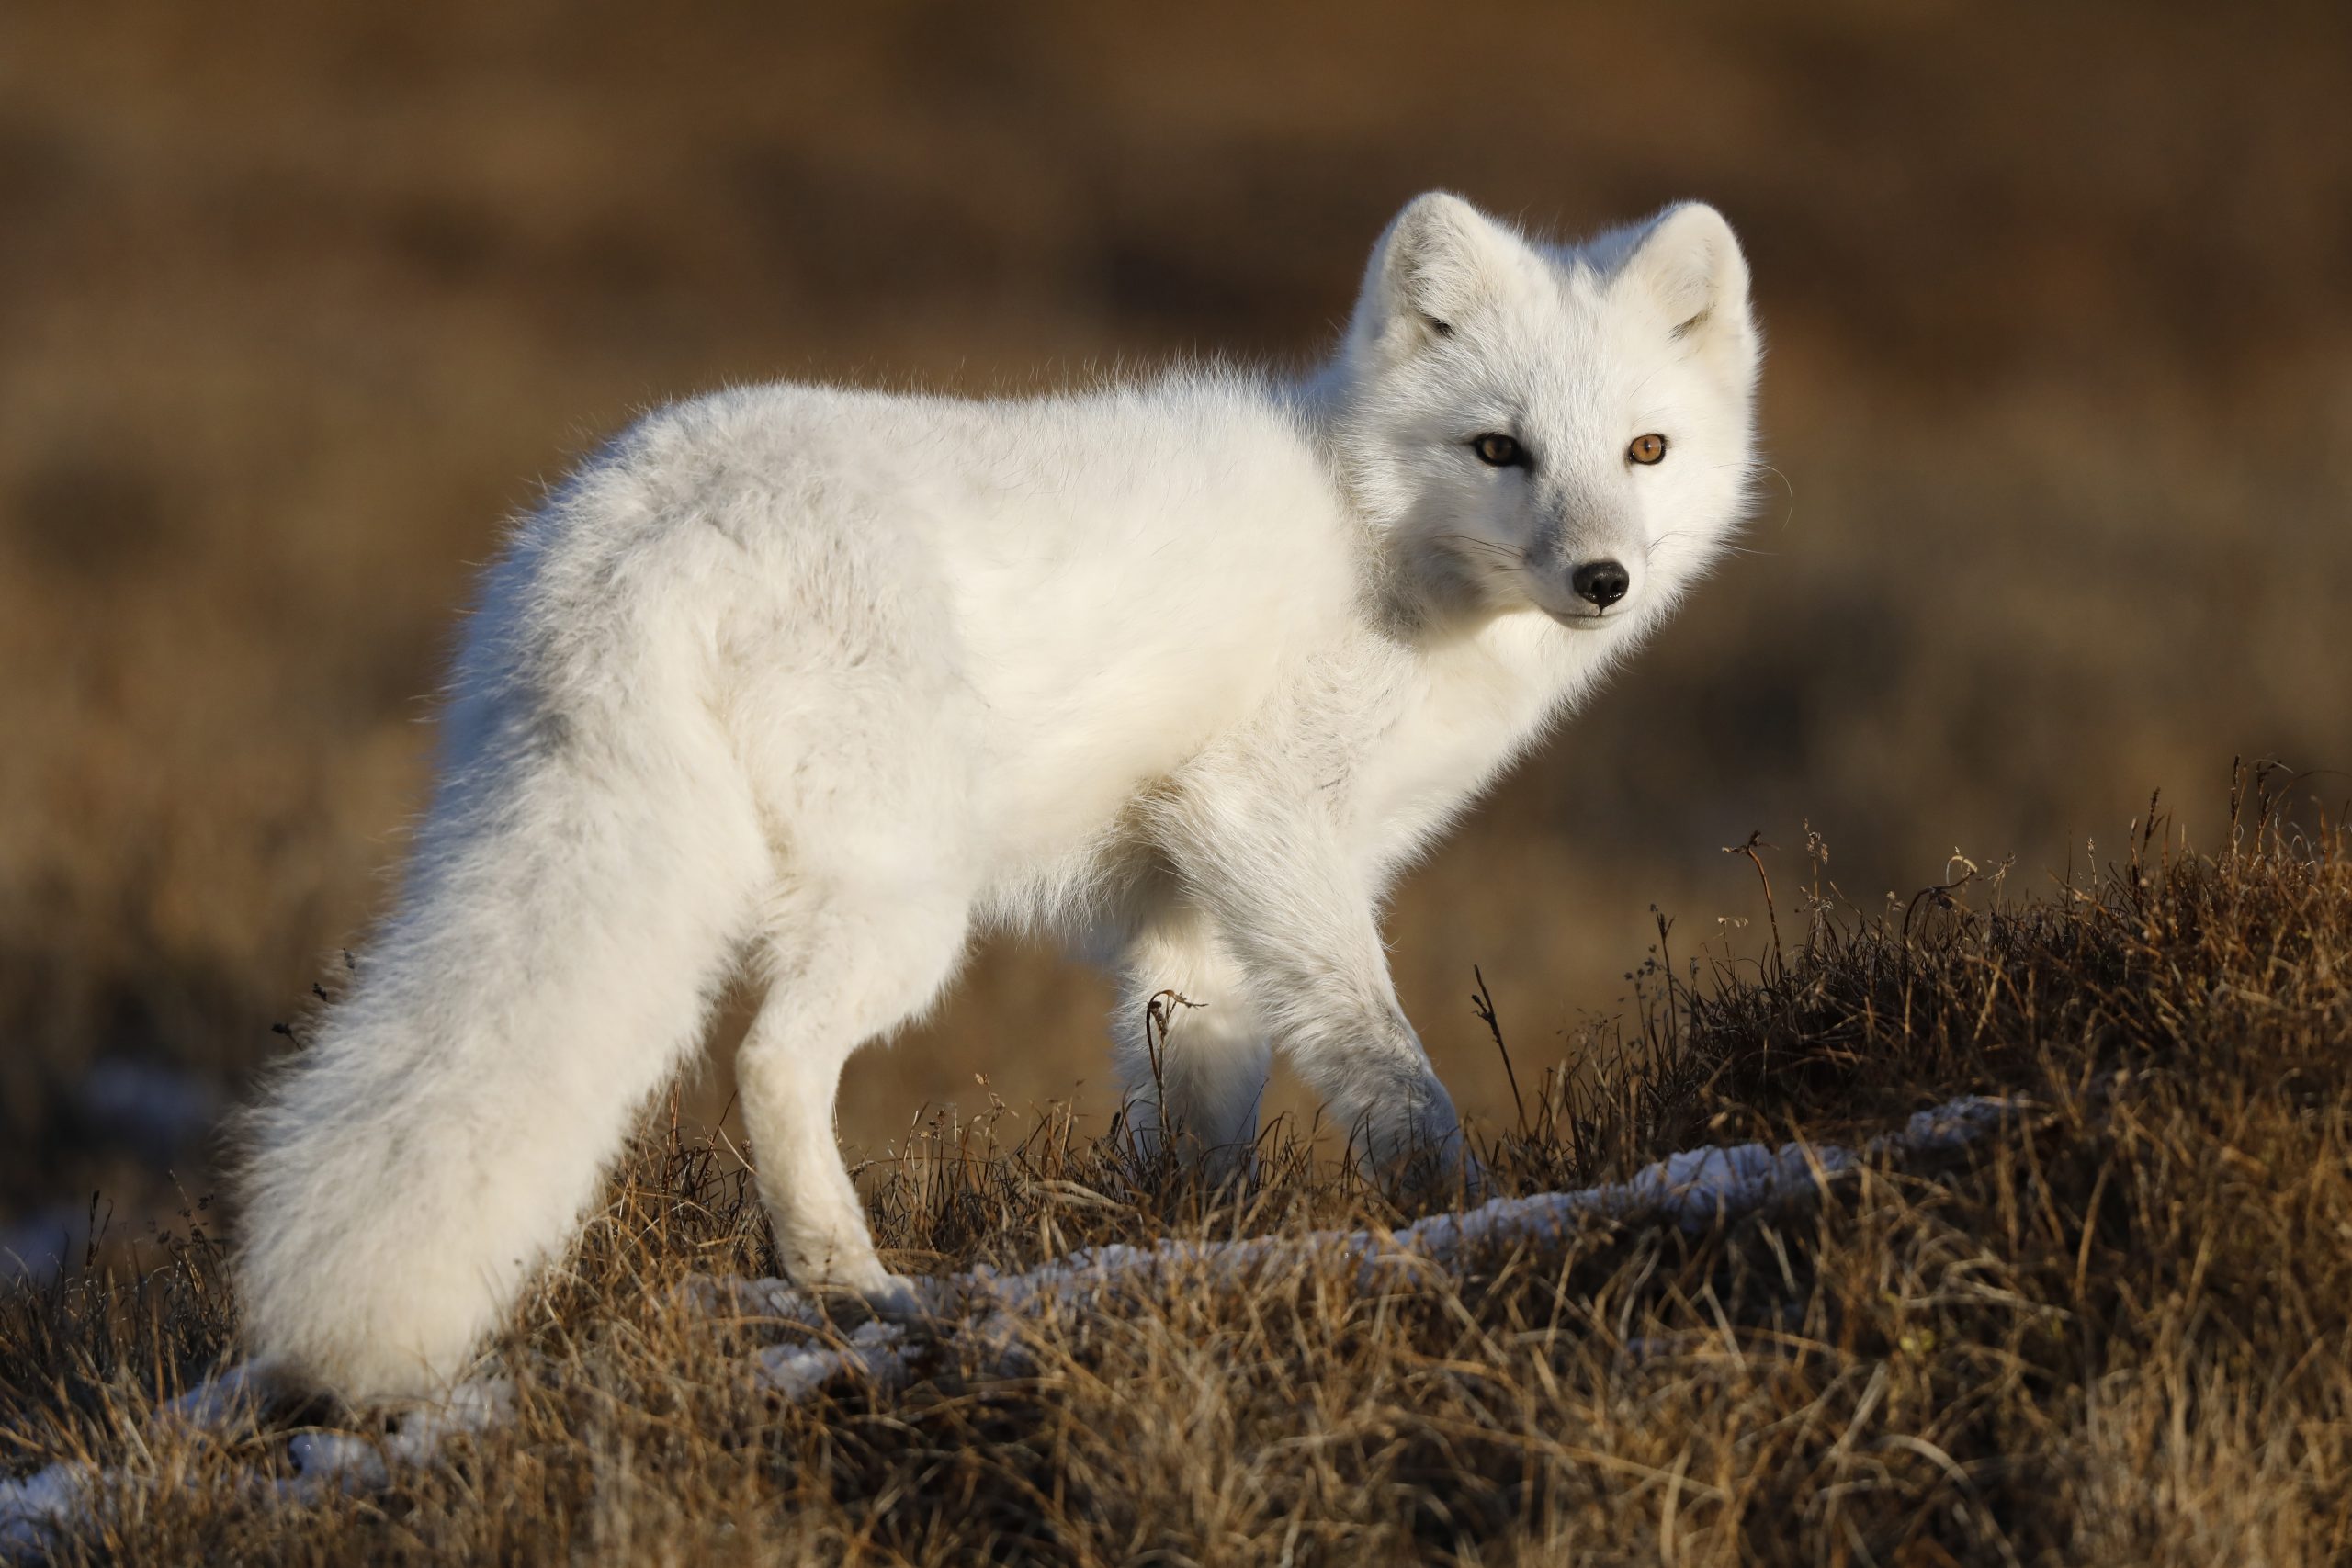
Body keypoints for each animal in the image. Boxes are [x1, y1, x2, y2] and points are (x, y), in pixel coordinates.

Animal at [238, 190, 1769, 1401]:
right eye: (1500, 449)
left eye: (1646, 451)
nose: (1602, 579)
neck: (1373, 542)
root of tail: (641, 533)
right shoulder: (1264, 819)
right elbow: (1384, 1057)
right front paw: (1456, 1205)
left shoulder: (1189, 903)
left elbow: (1197, 1099)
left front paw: (1188, 1244)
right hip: (913, 907)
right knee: (770, 1058)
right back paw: (851, 1282)